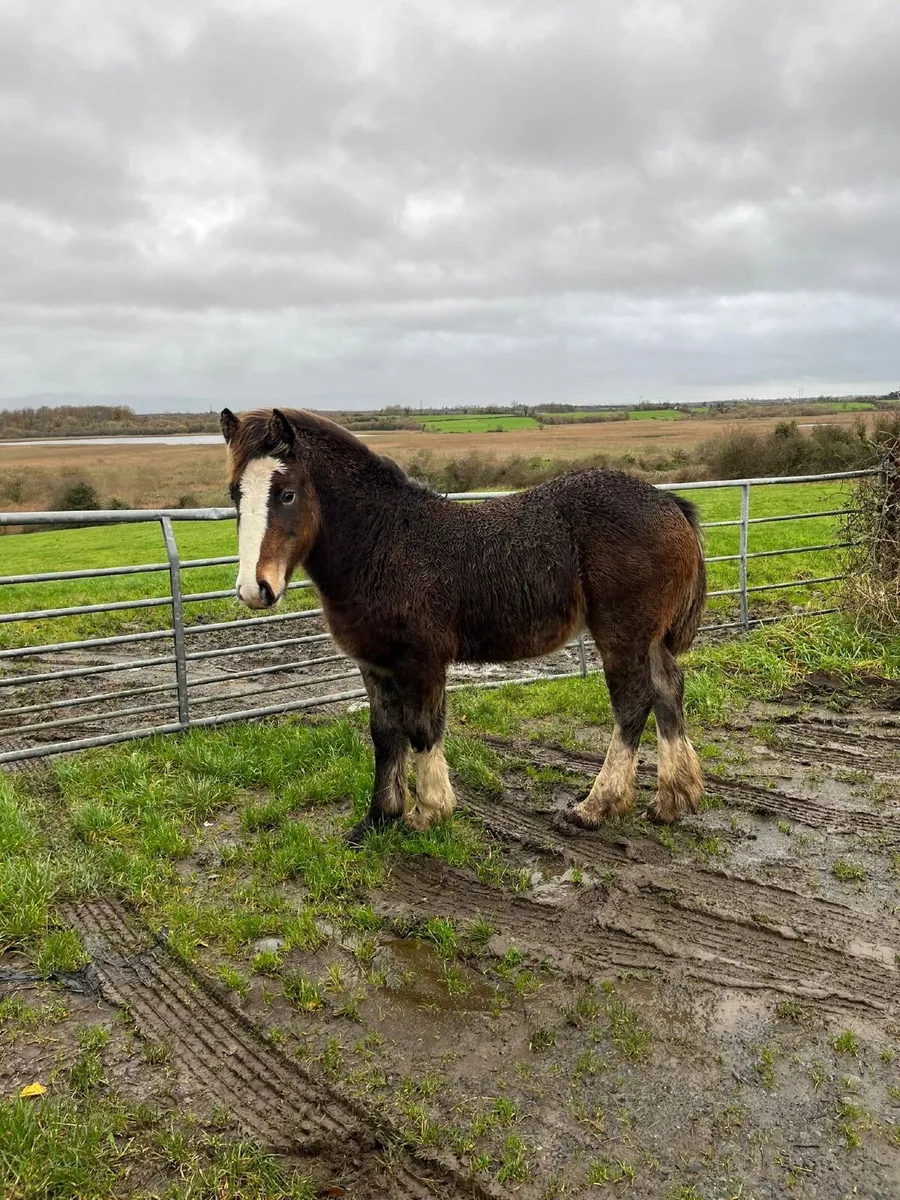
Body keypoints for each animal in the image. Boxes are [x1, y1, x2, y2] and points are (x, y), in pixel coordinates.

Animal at [220, 407, 706, 842]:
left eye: (286, 493)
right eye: (233, 494)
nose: (254, 589)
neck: (383, 541)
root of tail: (670, 502)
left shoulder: (422, 661)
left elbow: (422, 729)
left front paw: (428, 812)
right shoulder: (374, 662)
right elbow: (384, 733)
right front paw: (378, 818)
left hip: (622, 634)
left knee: (633, 703)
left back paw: (597, 806)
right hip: (649, 637)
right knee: (668, 690)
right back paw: (673, 800)